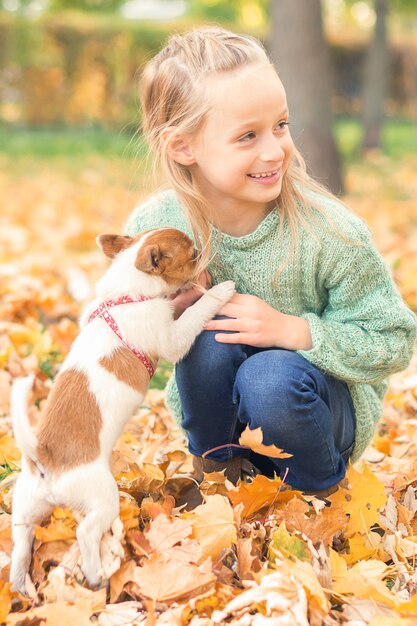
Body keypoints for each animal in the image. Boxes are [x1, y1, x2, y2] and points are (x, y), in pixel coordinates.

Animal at [9, 228, 234, 588]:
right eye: (192, 256)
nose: (205, 254)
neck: (129, 294)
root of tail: (43, 456)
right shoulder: (172, 337)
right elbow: (194, 314)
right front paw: (219, 291)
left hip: (25, 508)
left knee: (21, 544)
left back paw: (19, 585)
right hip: (102, 498)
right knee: (86, 533)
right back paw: (96, 573)